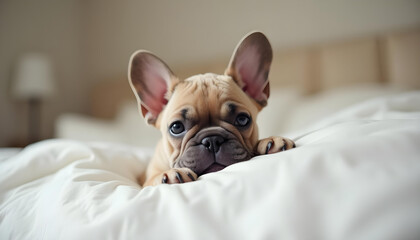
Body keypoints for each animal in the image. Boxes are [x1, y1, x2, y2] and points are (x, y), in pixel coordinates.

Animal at [128, 31, 296, 186]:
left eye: (242, 120)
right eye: (176, 127)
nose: (212, 140)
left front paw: (269, 141)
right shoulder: (146, 182)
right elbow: (153, 179)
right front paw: (168, 174)